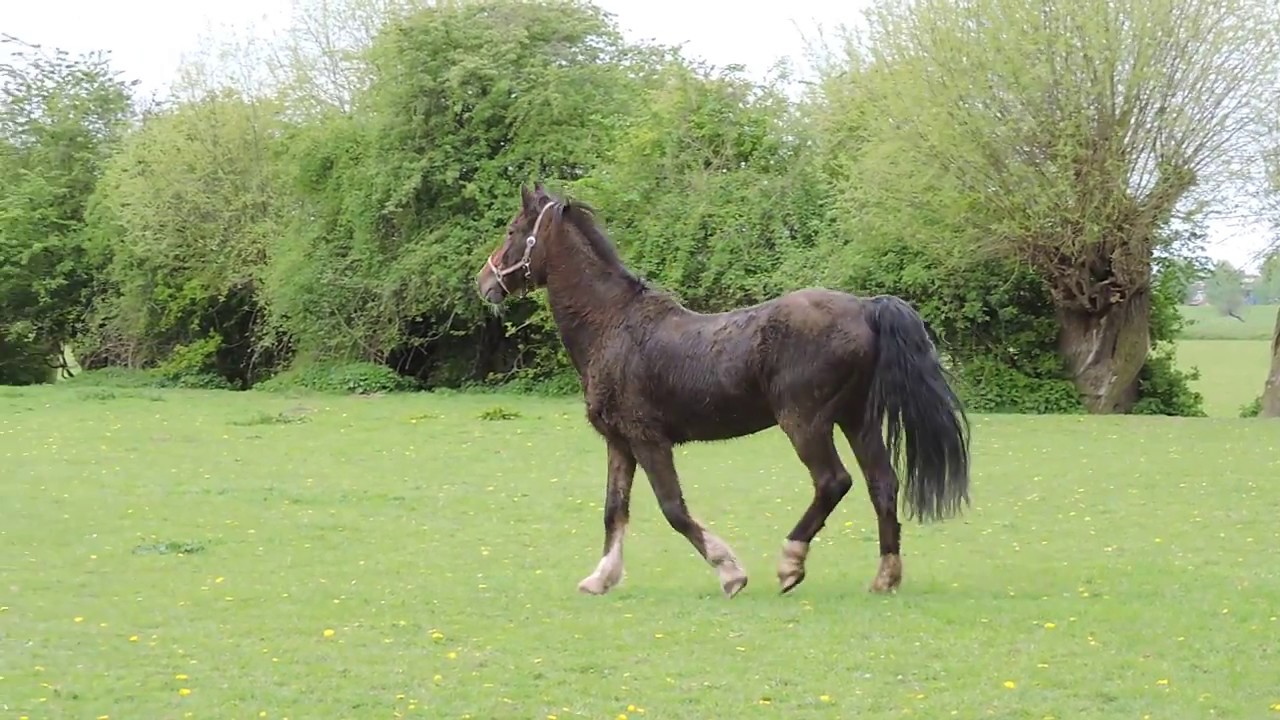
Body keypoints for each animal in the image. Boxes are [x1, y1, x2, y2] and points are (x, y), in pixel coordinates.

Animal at [475, 183, 971, 598]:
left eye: (513, 229)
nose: (484, 281)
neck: (612, 325)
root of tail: (866, 307)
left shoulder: (648, 440)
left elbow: (673, 509)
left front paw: (730, 572)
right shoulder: (619, 442)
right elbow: (614, 510)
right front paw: (601, 578)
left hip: (806, 423)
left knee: (834, 482)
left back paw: (790, 563)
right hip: (856, 419)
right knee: (881, 485)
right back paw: (885, 576)